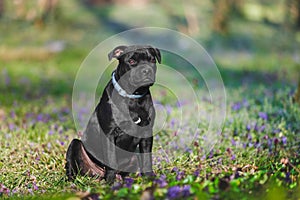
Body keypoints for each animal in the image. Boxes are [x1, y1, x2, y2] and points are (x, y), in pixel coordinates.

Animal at [64, 45, 161, 183]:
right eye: (131, 61)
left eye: (152, 60)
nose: (146, 70)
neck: (132, 97)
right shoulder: (109, 133)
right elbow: (111, 159)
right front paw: (110, 182)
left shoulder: (146, 132)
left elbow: (147, 159)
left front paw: (149, 178)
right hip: (75, 144)